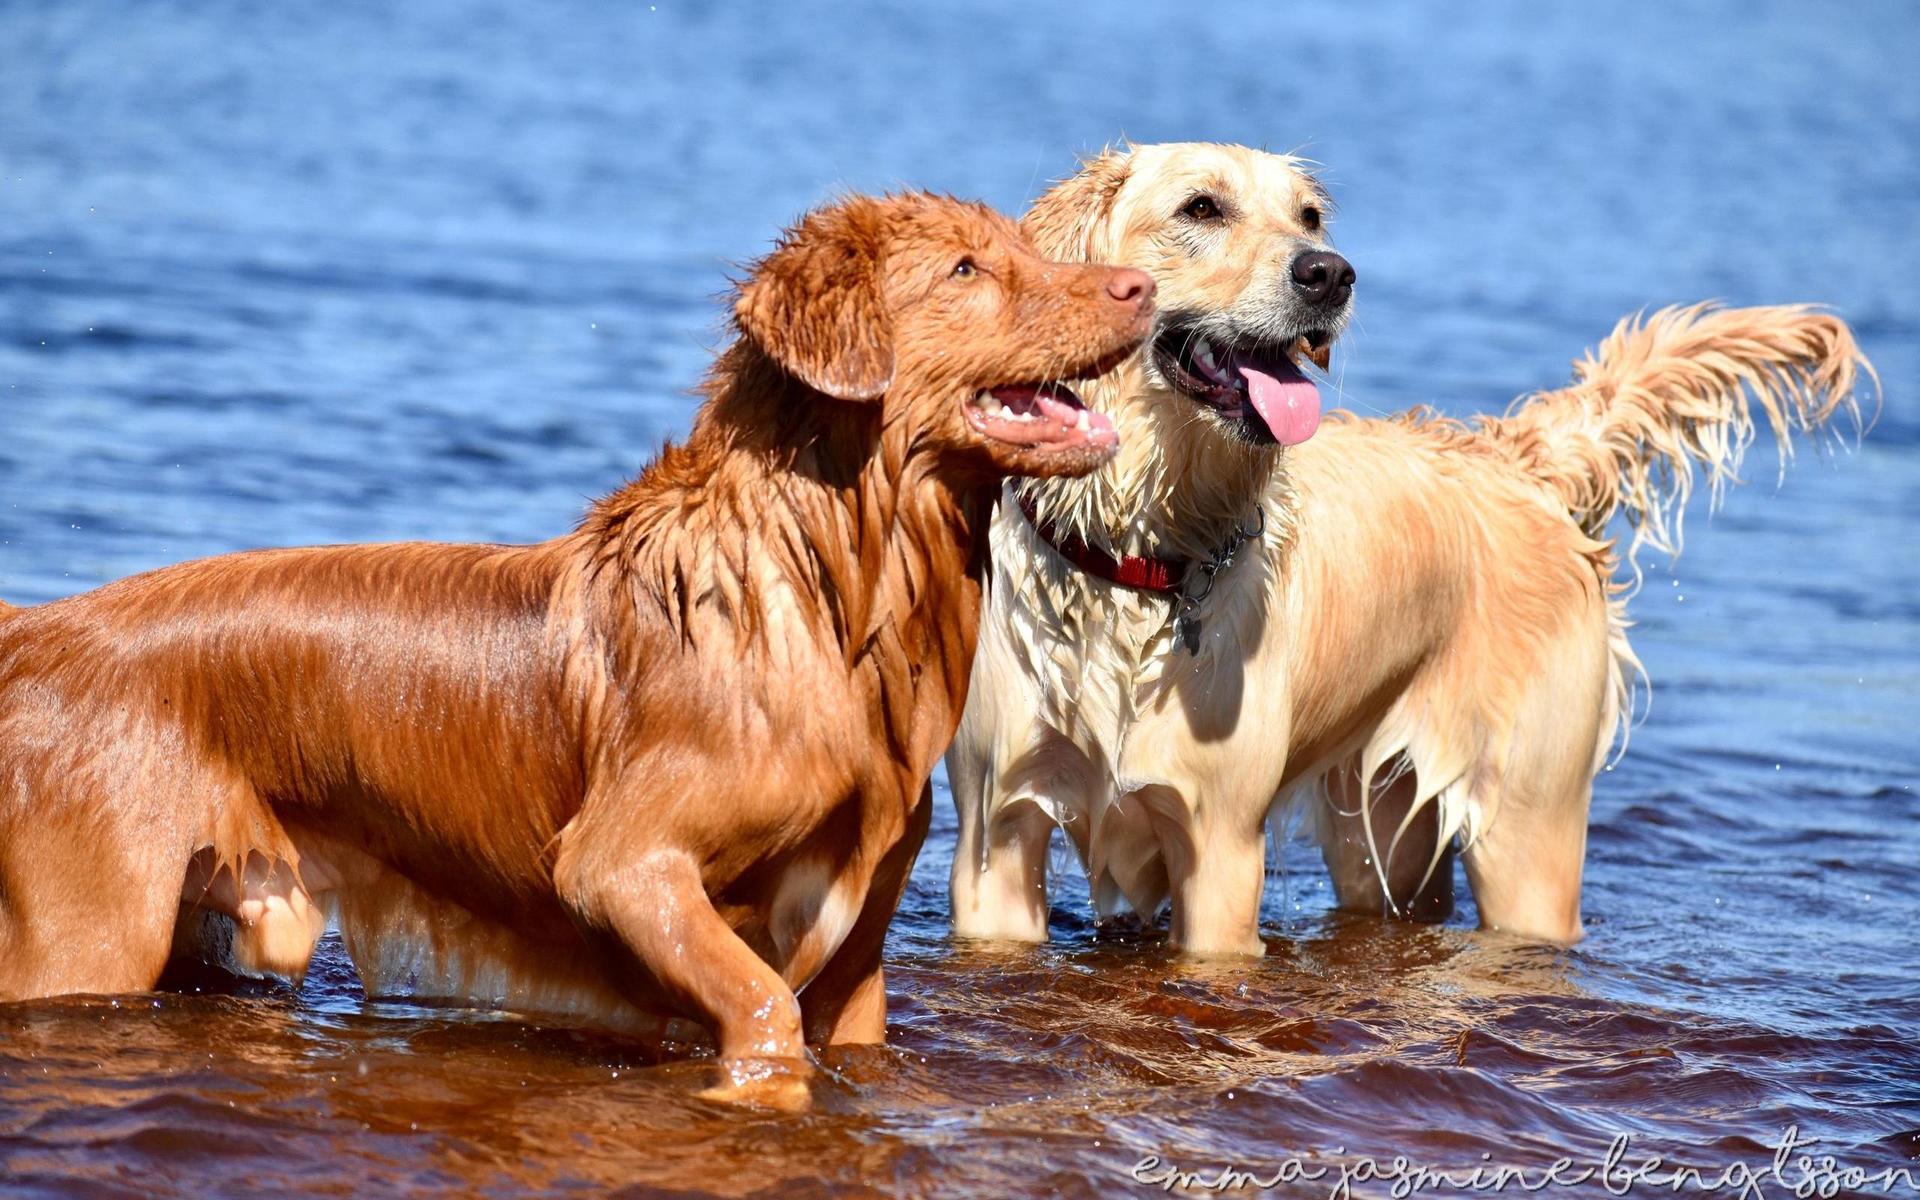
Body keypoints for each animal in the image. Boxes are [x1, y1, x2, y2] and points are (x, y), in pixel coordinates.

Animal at [0, 193, 1144, 1082]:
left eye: (1026, 247)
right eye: (967, 268)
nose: (1139, 286)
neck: (830, 593)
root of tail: (32, 633)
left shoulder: (859, 942)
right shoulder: (622, 865)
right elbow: (762, 1008)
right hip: (88, 929)